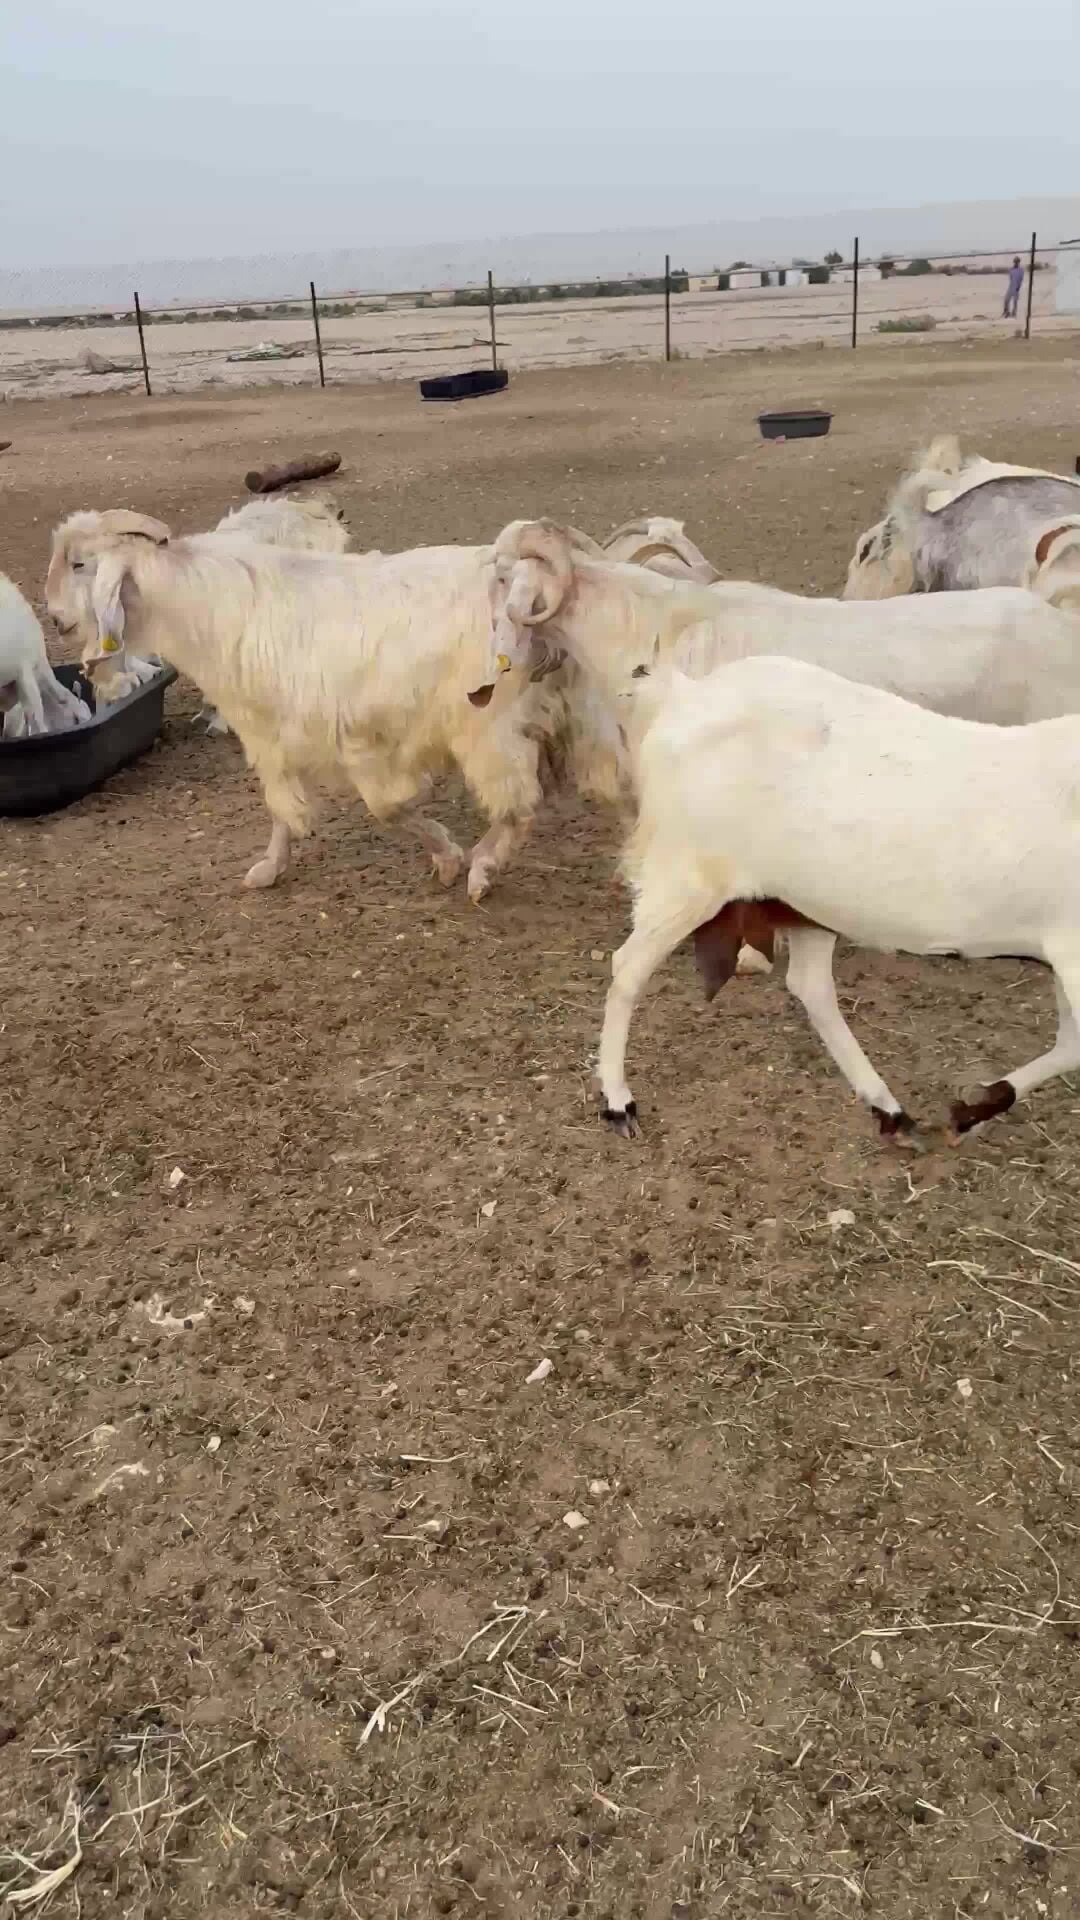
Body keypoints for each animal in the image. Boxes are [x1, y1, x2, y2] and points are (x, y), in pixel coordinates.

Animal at [45, 510, 564, 900]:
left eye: (80, 564)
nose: (56, 619)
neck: (206, 608)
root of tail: (523, 582)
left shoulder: (358, 738)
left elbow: (388, 808)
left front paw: (449, 857)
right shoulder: (273, 738)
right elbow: (283, 809)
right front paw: (270, 868)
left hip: (488, 726)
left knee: (521, 804)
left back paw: (484, 868)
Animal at [596, 653, 1080, 1140]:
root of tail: (686, 694)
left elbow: (1071, 1044)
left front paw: (973, 1107)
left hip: (804, 900)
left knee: (810, 986)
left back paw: (888, 1108)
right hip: (689, 875)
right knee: (629, 967)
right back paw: (618, 1101)